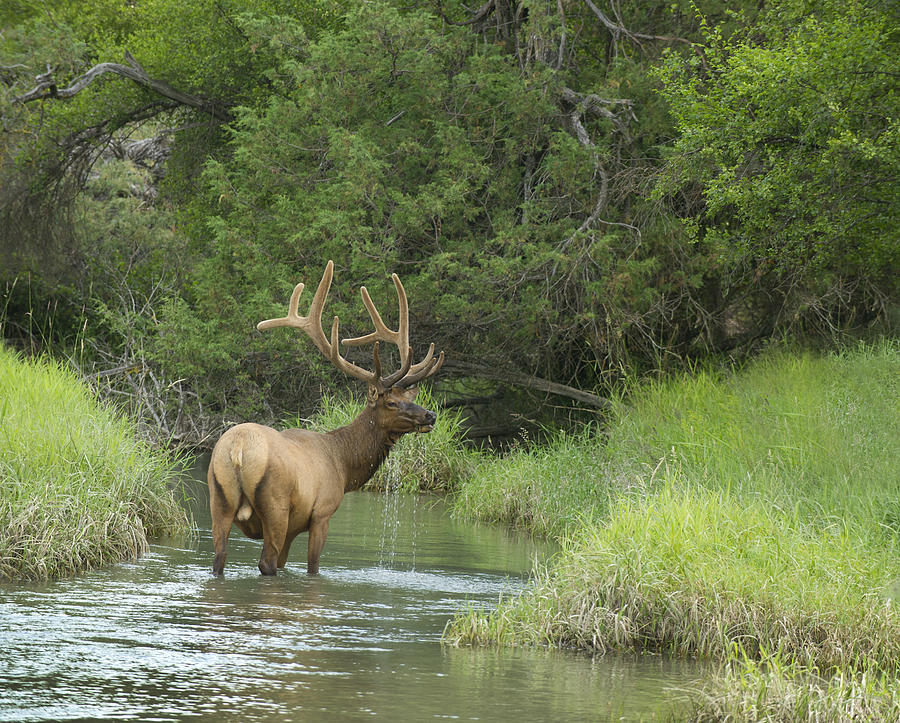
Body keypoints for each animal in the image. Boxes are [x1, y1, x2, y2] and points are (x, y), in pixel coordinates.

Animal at [205, 262, 442, 576]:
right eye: (391, 402)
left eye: (410, 398)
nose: (430, 415)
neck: (344, 463)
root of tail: (238, 449)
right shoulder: (322, 513)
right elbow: (313, 566)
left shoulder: (294, 526)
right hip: (276, 505)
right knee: (266, 563)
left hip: (218, 497)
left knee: (219, 558)